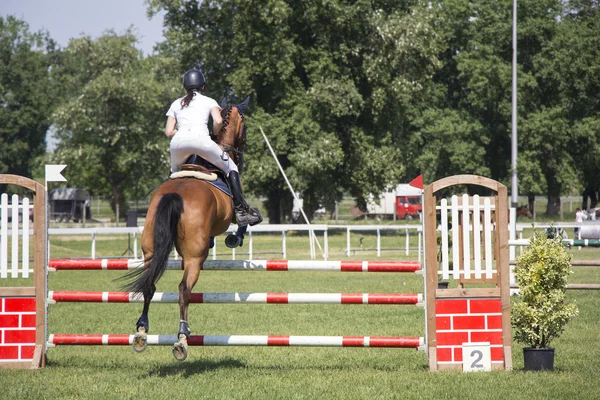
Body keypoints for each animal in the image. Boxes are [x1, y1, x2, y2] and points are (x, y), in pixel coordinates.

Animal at [125, 98, 250, 360]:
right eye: (244, 126)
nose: (242, 156)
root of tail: (175, 194)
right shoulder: (234, 209)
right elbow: (243, 220)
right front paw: (236, 237)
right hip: (194, 257)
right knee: (184, 289)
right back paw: (182, 338)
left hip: (150, 249)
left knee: (149, 285)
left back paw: (142, 331)